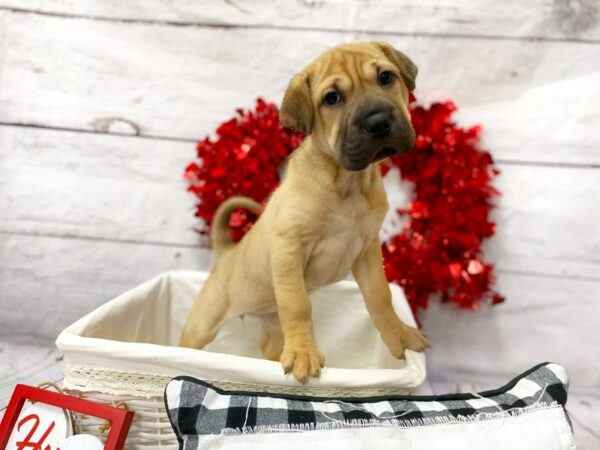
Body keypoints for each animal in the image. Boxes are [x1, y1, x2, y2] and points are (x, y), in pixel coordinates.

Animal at [180, 42, 428, 382]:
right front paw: (303, 354)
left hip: (271, 321)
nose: (378, 122)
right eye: (332, 98)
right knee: (188, 339)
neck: (347, 183)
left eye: (386, 77)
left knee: (271, 343)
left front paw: (399, 335)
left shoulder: (367, 250)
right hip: (205, 320)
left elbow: (380, 296)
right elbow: (298, 305)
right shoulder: (290, 247)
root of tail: (226, 252)